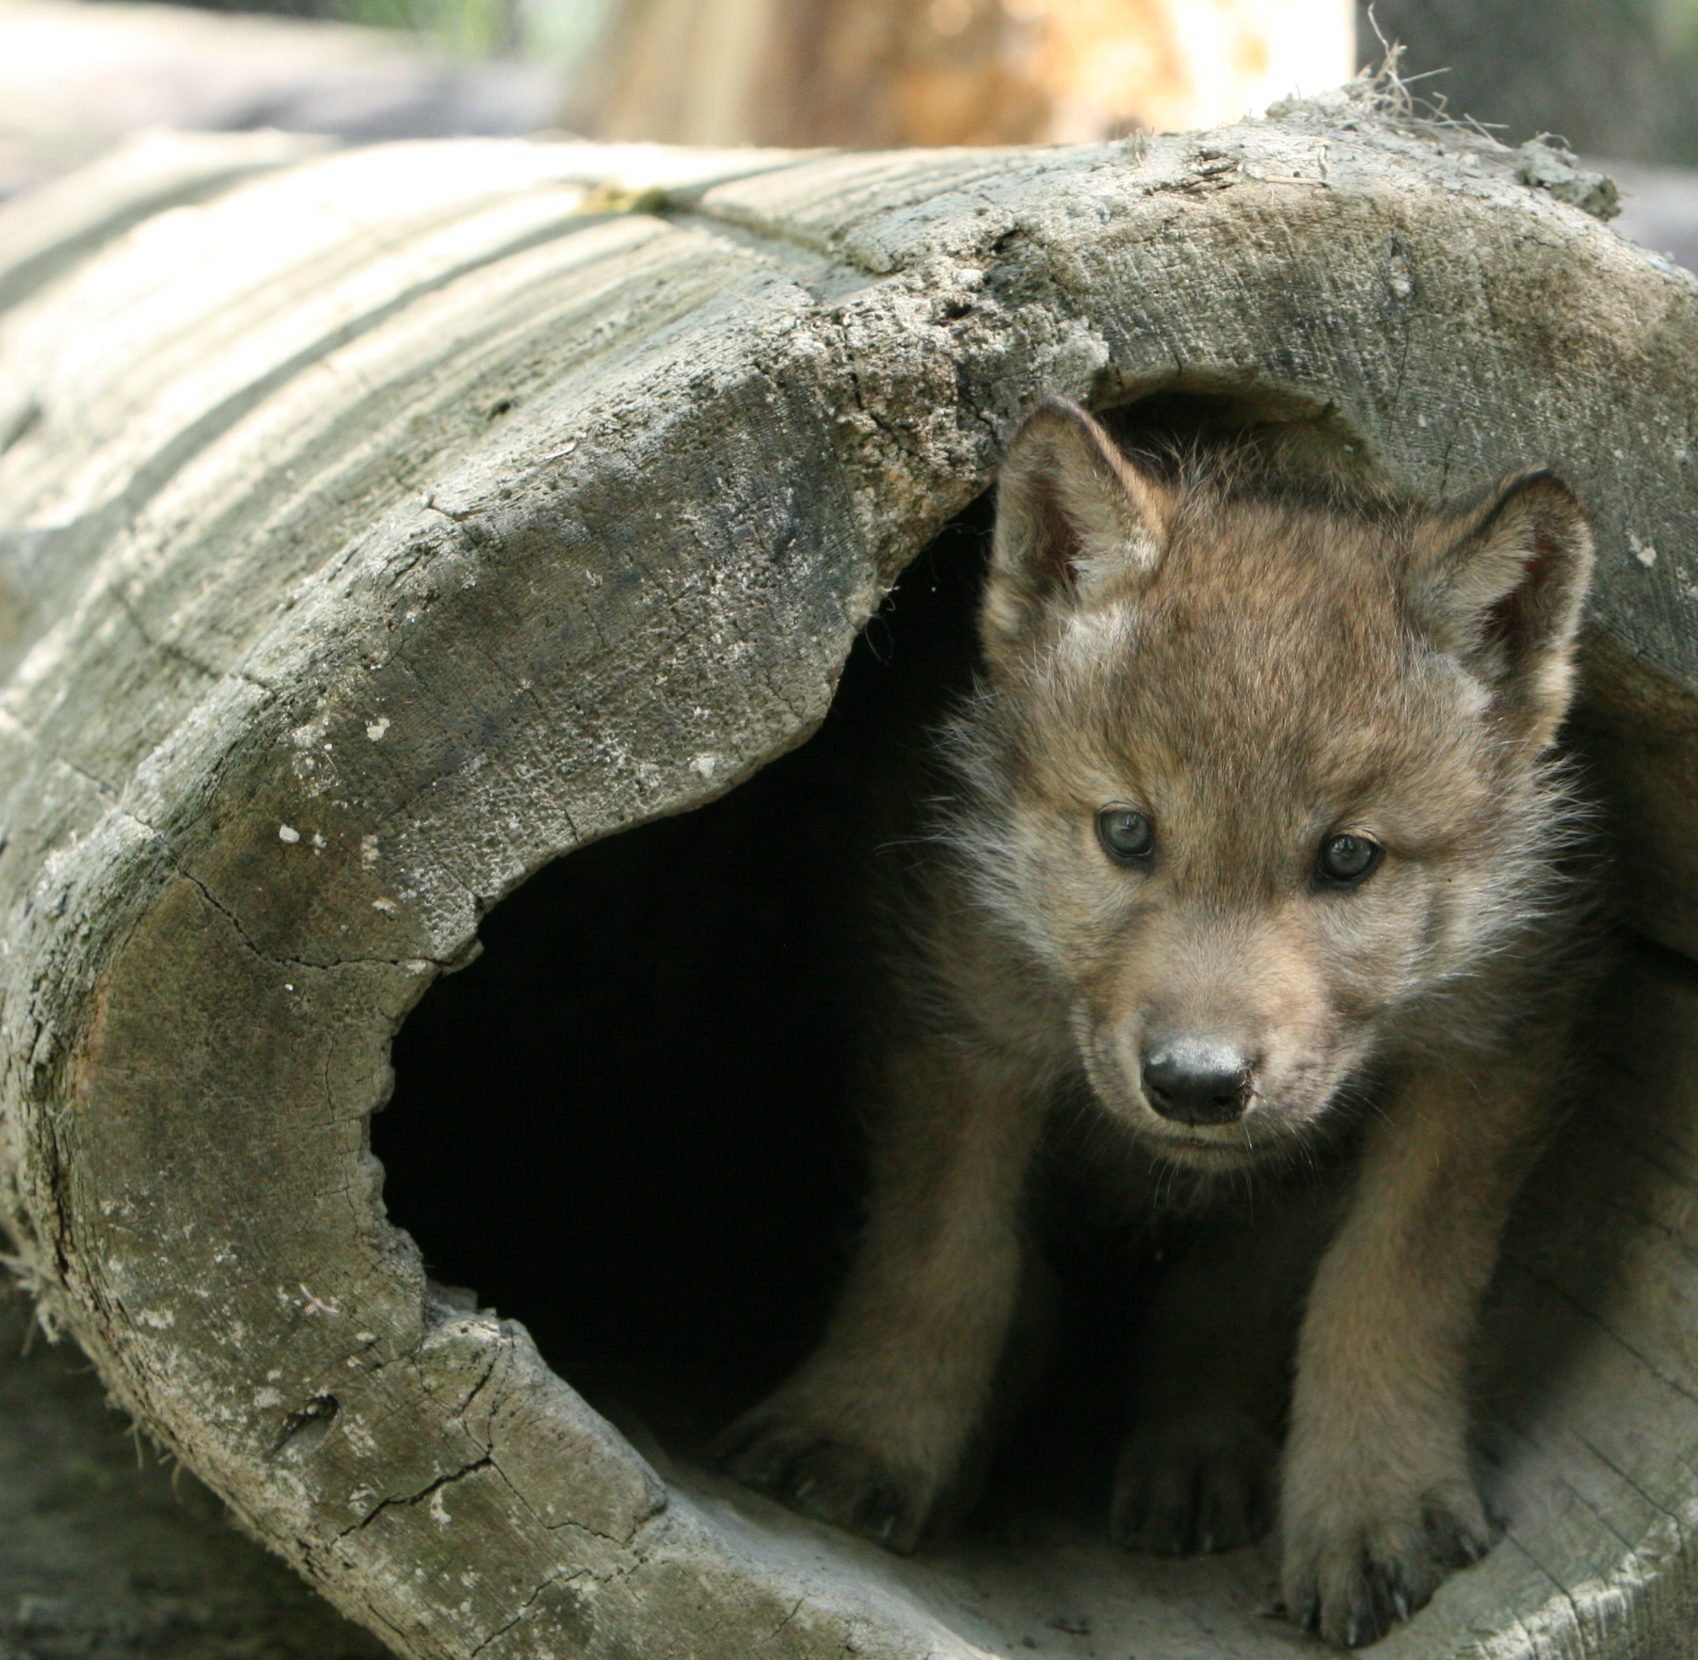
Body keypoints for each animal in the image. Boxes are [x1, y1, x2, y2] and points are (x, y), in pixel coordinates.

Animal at [716, 396, 1596, 1648]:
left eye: (1349, 857)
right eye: (1127, 833)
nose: (1195, 1081)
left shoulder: (1491, 1042)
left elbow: (1371, 1282)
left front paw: (1362, 1499)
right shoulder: (956, 1013)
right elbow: (946, 1255)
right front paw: (865, 1435)